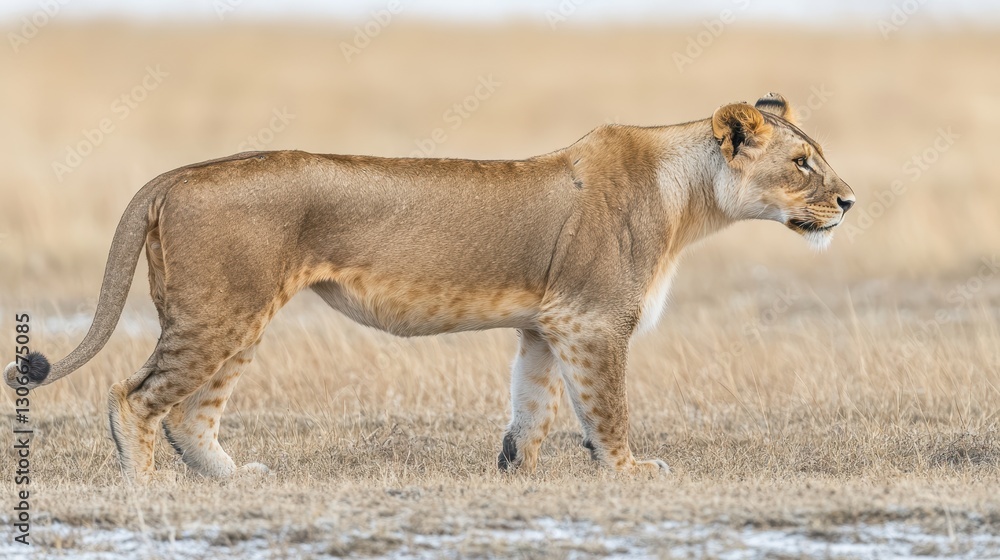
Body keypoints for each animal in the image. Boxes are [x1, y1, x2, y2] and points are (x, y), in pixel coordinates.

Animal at [5, 93, 854, 481]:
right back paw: (147, 488)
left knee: (190, 411)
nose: (849, 202)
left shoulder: (547, 324)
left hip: (236, 316)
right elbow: (607, 408)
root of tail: (177, 174)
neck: (689, 198)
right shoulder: (592, 319)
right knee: (135, 396)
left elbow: (533, 408)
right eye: (802, 164)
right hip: (222, 310)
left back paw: (233, 479)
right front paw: (630, 472)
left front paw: (517, 473)